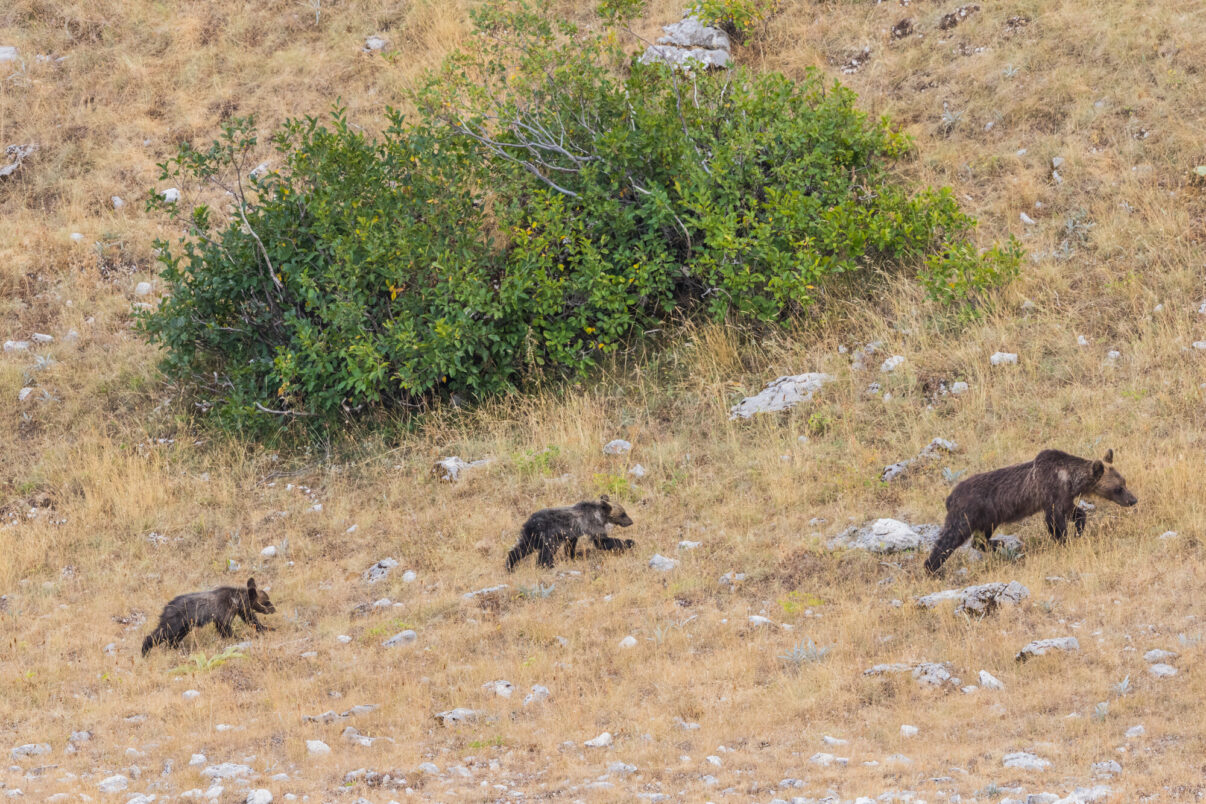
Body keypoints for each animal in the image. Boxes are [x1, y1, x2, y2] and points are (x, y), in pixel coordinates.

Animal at [142, 578, 276, 656]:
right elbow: (225, 628)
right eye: (267, 602)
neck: (236, 600)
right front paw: (238, 638)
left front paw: (268, 628)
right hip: (174, 623)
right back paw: (145, 651)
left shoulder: (241, 610)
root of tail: (166, 608)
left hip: (184, 626)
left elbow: (251, 620)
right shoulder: (224, 613)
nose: (274, 609)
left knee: (173, 639)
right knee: (158, 635)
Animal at [505, 495, 635, 571]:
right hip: (548, 535)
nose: (631, 521)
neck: (600, 515)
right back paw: (547, 565)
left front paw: (572, 555)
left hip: (532, 535)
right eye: (623, 514)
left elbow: (570, 545)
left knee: (522, 548)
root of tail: (530, 522)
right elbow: (601, 541)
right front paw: (629, 542)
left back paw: (510, 565)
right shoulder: (592, 525)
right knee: (547, 551)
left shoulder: (572, 533)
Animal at [924, 448, 1137, 574]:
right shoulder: (1050, 493)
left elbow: (1076, 513)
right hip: (968, 513)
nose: (1133, 500)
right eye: (1118, 488)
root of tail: (950, 496)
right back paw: (932, 567)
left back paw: (998, 543)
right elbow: (1055, 522)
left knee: (979, 539)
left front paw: (1079, 530)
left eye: (1124, 481)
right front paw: (1064, 541)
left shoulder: (1065, 497)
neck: (1069, 478)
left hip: (988, 517)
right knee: (950, 538)